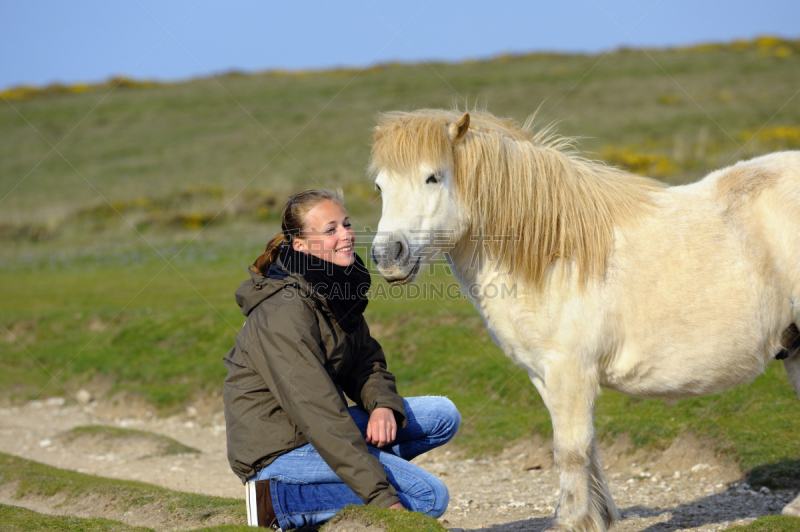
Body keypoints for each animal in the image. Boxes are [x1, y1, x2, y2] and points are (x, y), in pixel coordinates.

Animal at [370, 108, 800, 532]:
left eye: (433, 176)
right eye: (379, 186)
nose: (388, 255)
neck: (555, 254)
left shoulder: (570, 370)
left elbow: (570, 450)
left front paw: (570, 521)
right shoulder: (545, 374)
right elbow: (586, 446)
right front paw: (596, 517)